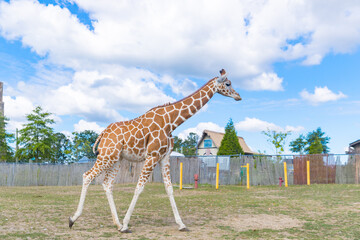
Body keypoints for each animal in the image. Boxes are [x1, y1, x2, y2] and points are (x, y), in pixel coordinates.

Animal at [68, 69, 242, 232]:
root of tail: (103, 133)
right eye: (228, 84)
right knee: (87, 176)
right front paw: (126, 223)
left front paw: (181, 224)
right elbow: (139, 187)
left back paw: (117, 224)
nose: (238, 96)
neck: (172, 121)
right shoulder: (152, 155)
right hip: (106, 156)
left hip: (117, 159)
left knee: (107, 184)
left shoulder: (164, 157)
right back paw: (73, 219)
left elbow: (169, 189)